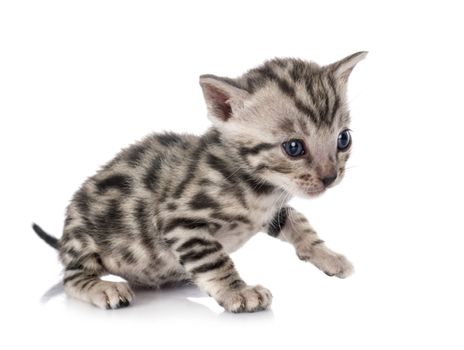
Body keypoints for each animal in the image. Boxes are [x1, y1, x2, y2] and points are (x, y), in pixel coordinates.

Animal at [33, 51, 366, 312]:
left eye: (343, 139)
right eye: (293, 147)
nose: (330, 177)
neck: (261, 189)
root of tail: (66, 238)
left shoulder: (272, 211)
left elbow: (300, 224)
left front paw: (329, 256)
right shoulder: (179, 221)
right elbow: (214, 260)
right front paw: (237, 291)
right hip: (84, 241)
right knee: (72, 277)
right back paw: (103, 287)